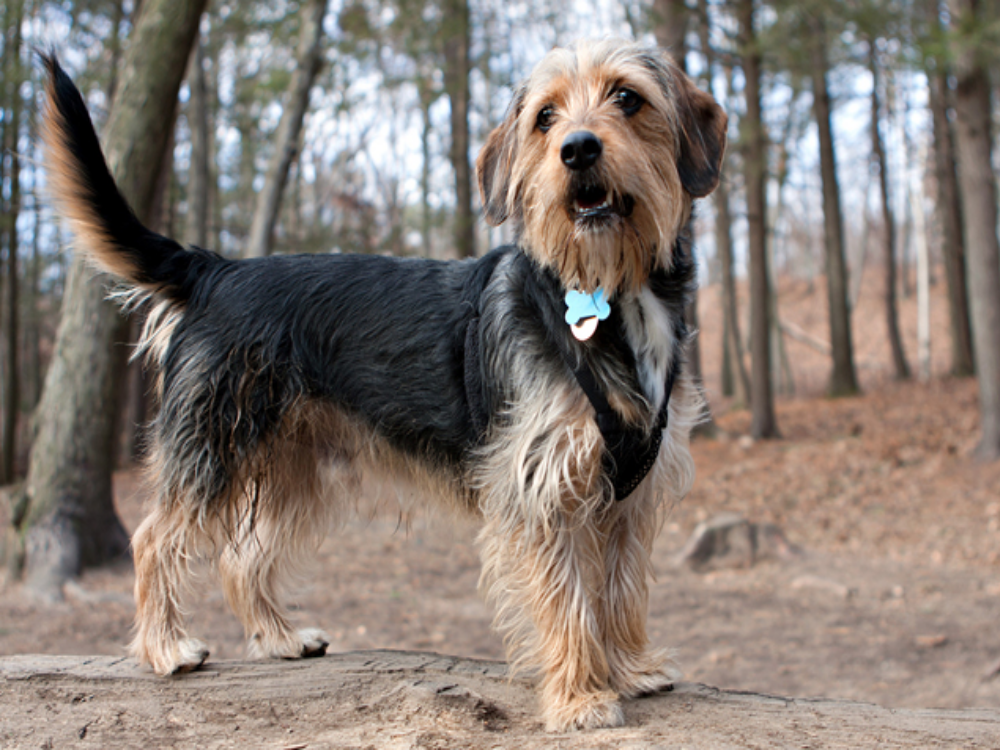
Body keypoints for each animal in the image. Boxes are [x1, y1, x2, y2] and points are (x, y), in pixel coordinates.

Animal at [41, 38, 728, 732]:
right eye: (545, 117)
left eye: (627, 98)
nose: (578, 148)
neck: (608, 289)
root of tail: (216, 269)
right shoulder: (539, 487)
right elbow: (568, 599)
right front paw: (579, 698)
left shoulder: (632, 490)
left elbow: (620, 586)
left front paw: (630, 668)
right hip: (214, 446)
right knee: (153, 539)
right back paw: (164, 647)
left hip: (295, 469)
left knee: (243, 557)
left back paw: (279, 637)